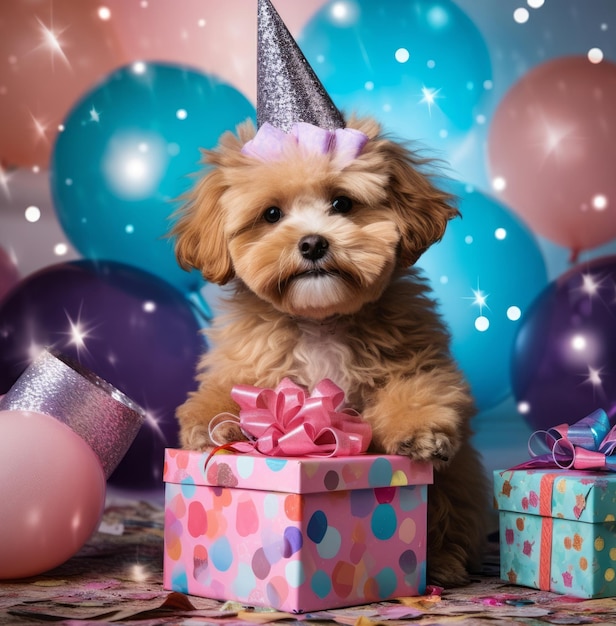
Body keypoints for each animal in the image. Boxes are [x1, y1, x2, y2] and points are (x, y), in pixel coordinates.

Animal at [171, 116, 488, 584]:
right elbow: (229, 389)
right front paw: (218, 425)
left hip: (458, 487)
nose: (313, 243)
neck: (320, 320)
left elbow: (419, 389)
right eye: (271, 214)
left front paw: (418, 432)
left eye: (342, 203)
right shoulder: (249, 362)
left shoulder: (420, 363)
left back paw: (444, 562)